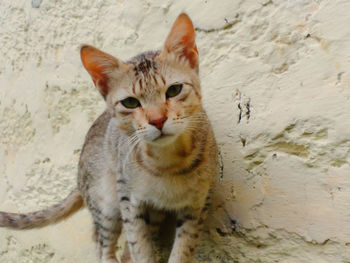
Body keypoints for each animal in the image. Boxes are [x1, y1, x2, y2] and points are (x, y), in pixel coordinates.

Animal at [0, 12, 219, 263]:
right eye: (130, 102)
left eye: (174, 90)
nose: (157, 120)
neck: (167, 164)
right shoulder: (130, 201)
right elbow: (140, 249)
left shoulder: (198, 205)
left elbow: (182, 250)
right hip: (107, 204)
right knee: (103, 246)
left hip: (149, 215)